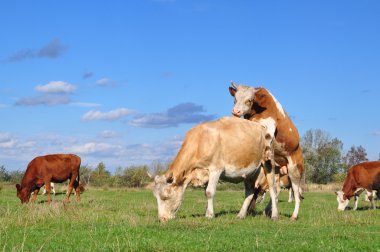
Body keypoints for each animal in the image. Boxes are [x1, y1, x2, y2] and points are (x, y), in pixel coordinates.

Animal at [152, 116, 280, 222]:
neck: (200, 141)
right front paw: (207, 212)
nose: (162, 219)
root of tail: (262, 127)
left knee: (273, 189)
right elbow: (206, 193)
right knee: (249, 192)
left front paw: (209, 215)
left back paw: (274, 215)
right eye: (156, 197)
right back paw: (241, 215)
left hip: (268, 163)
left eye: (165, 197)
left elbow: (209, 192)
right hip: (250, 171)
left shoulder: (216, 169)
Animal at [229, 81, 306, 220]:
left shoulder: (269, 136)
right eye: (235, 98)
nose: (236, 111)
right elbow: (250, 188)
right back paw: (266, 211)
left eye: (249, 100)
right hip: (278, 169)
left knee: (296, 194)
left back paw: (293, 216)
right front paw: (242, 213)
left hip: (294, 170)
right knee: (276, 189)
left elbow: (271, 187)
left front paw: (275, 215)